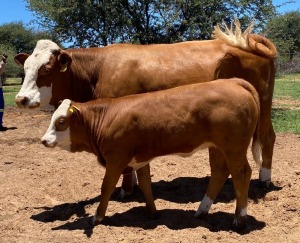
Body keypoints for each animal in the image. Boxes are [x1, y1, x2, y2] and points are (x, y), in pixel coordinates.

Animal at [14, 18, 276, 196]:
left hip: (262, 106)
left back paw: (264, 180)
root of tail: (248, 44)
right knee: (270, 137)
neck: (98, 70)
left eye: (46, 69)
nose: (21, 99)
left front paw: (126, 191)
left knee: (265, 138)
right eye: (25, 68)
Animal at [41, 78, 262, 230]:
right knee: (219, 173)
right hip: (216, 147)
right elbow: (146, 184)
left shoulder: (116, 159)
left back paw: (239, 219)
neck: (108, 116)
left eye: (61, 121)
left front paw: (97, 217)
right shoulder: (141, 160)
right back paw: (201, 211)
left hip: (234, 148)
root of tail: (233, 82)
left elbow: (106, 187)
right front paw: (152, 212)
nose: (44, 140)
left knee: (242, 174)